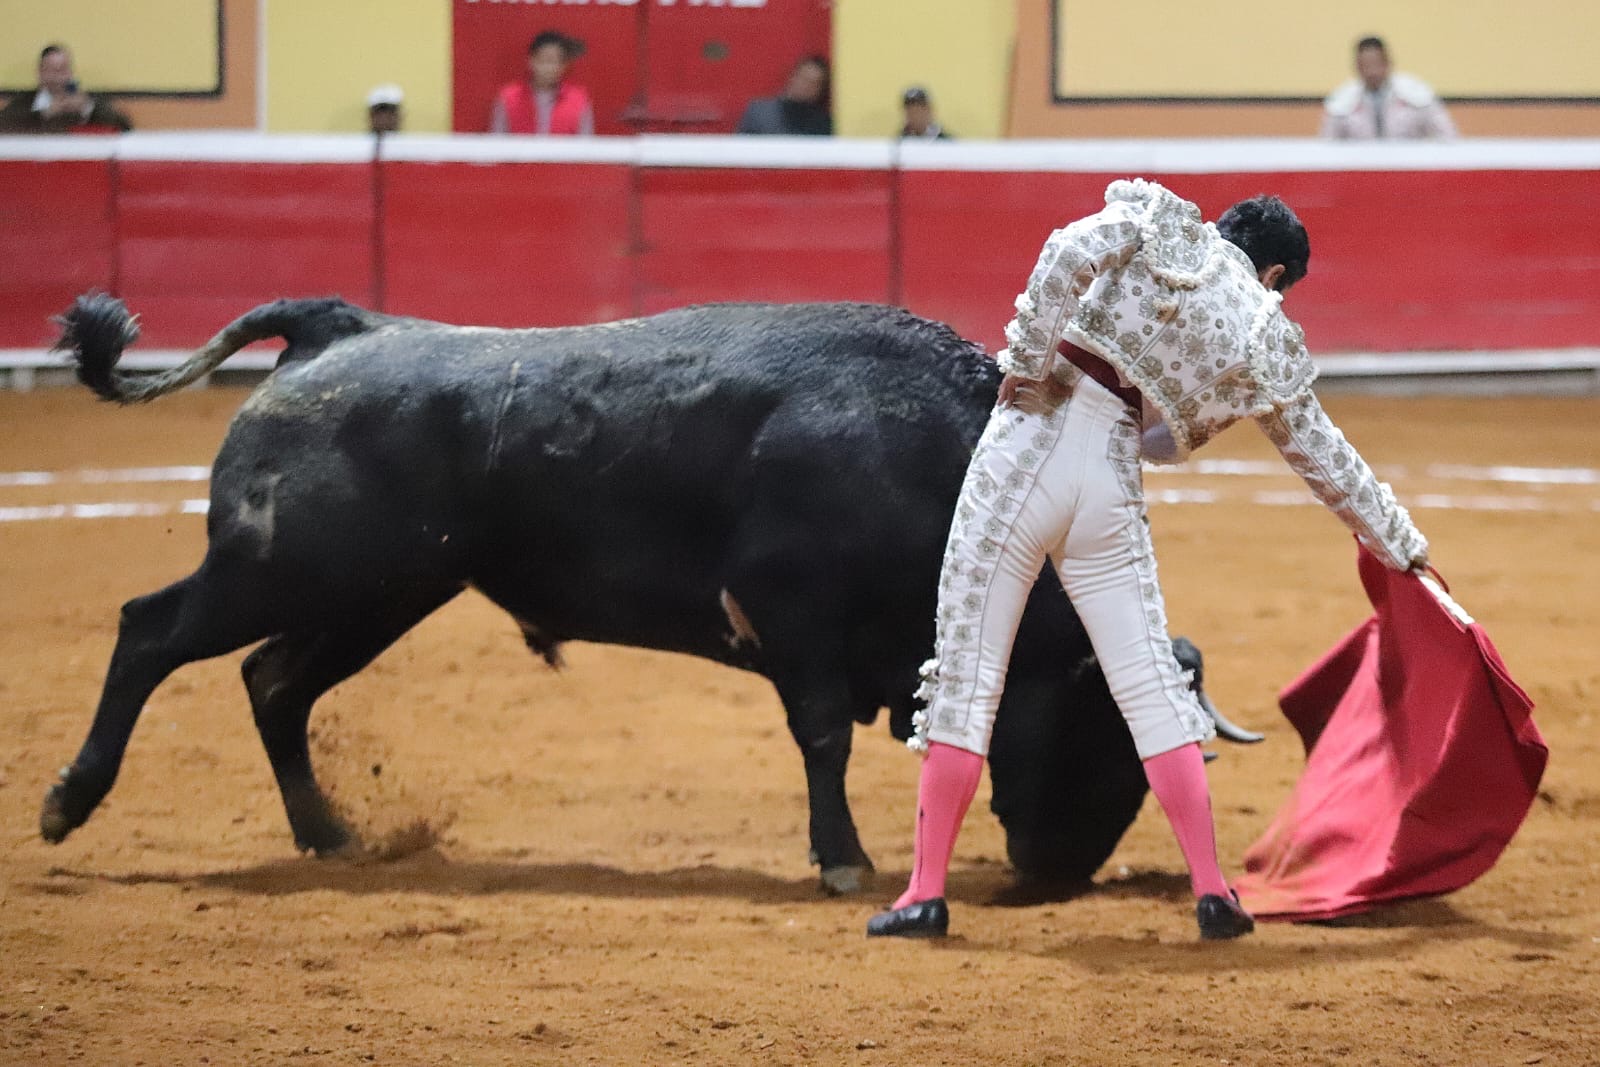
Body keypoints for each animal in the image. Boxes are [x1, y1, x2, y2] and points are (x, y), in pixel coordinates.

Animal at [43, 295, 1254, 895]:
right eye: (1105, 733)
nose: (1055, 877)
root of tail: (339, 331)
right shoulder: (796, 617)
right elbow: (822, 735)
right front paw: (843, 859)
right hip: (278, 568)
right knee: (152, 633)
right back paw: (69, 799)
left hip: (380, 591)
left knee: (273, 682)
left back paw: (329, 834)